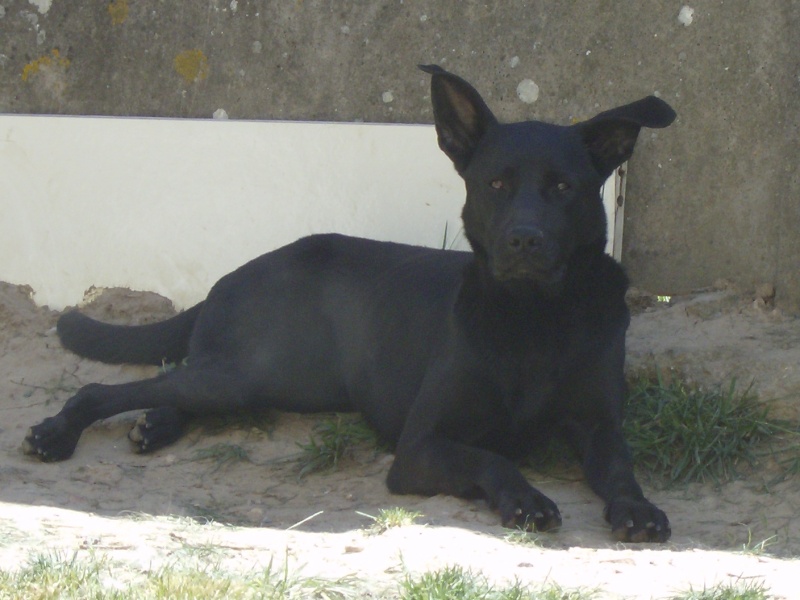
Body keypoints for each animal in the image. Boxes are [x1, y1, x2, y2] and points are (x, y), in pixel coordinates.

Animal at [23, 65, 676, 544]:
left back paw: (155, 425)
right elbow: (492, 460)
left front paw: (636, 508)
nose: (524, 240)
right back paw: (59, 432)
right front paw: (526, 498)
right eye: (496, 184)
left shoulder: (599, 424)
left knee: (176, 386)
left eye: (564, 187)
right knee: (106, 388)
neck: (535, 318)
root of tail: (234, 274)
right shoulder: (420, 447)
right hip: (246, 374)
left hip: (261, 383)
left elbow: (620, 467)